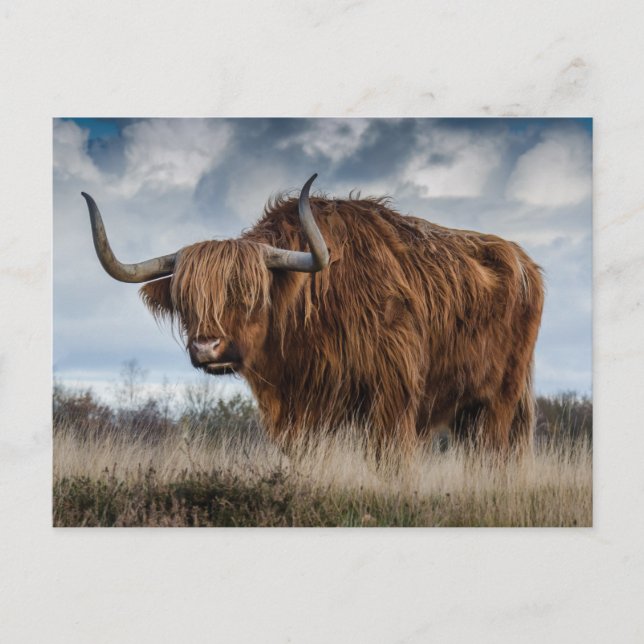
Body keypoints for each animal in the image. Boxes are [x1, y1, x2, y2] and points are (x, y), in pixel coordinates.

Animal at [82, 174, 544, 453]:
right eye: (186, 300)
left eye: (250, 294)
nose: (207, 347)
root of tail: (524, 261)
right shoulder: (297, 411)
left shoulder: (393, 396)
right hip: (468, 409)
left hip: (500, 399)